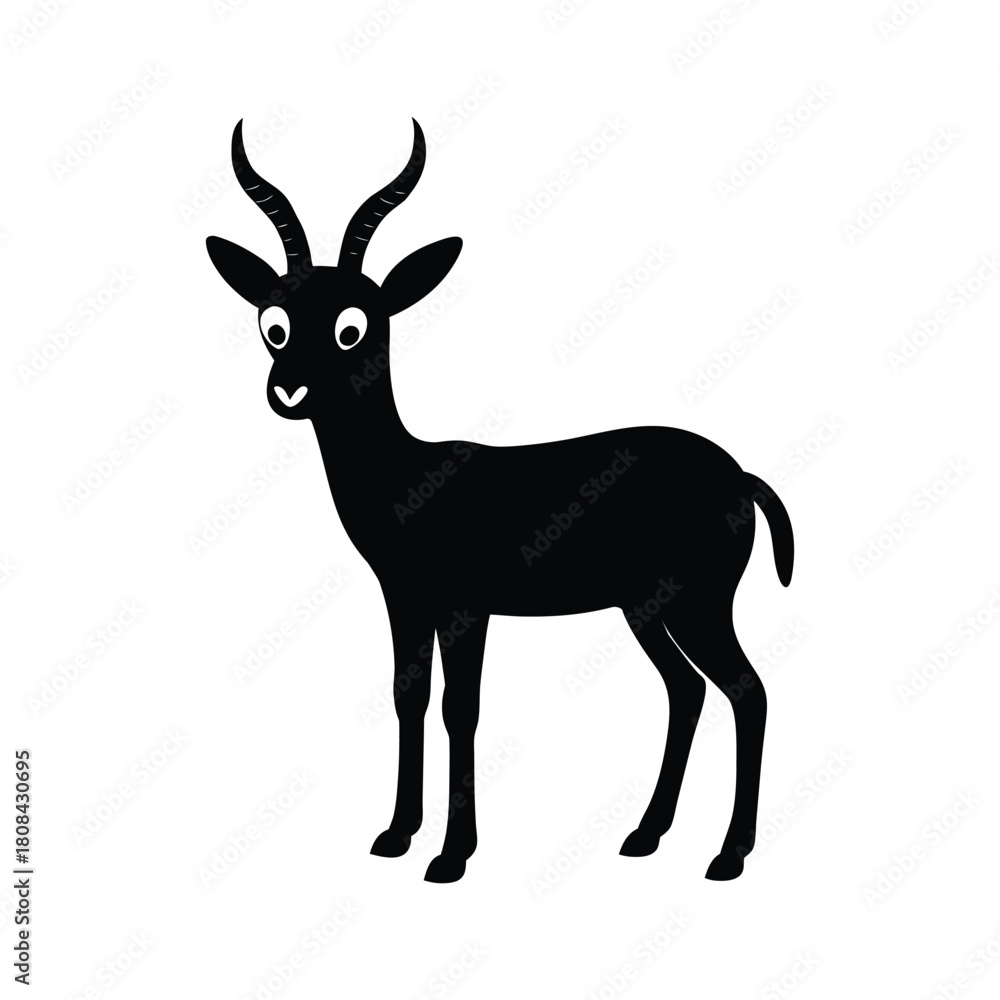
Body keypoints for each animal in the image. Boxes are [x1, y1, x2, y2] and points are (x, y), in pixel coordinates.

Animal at [206, 119, 794, 884]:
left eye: (352, 325)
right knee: (687, 691)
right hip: (646, 606)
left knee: (747, 691)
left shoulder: (464, 603)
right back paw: (645, 835)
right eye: (272, 321)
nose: (289, 389)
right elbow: (408, 696)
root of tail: (742, 475)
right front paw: (396, 834)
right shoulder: (404, 596)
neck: (408, 473)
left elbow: (462, 708)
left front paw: (452, 855)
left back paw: (727, 856)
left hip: (699, 603)